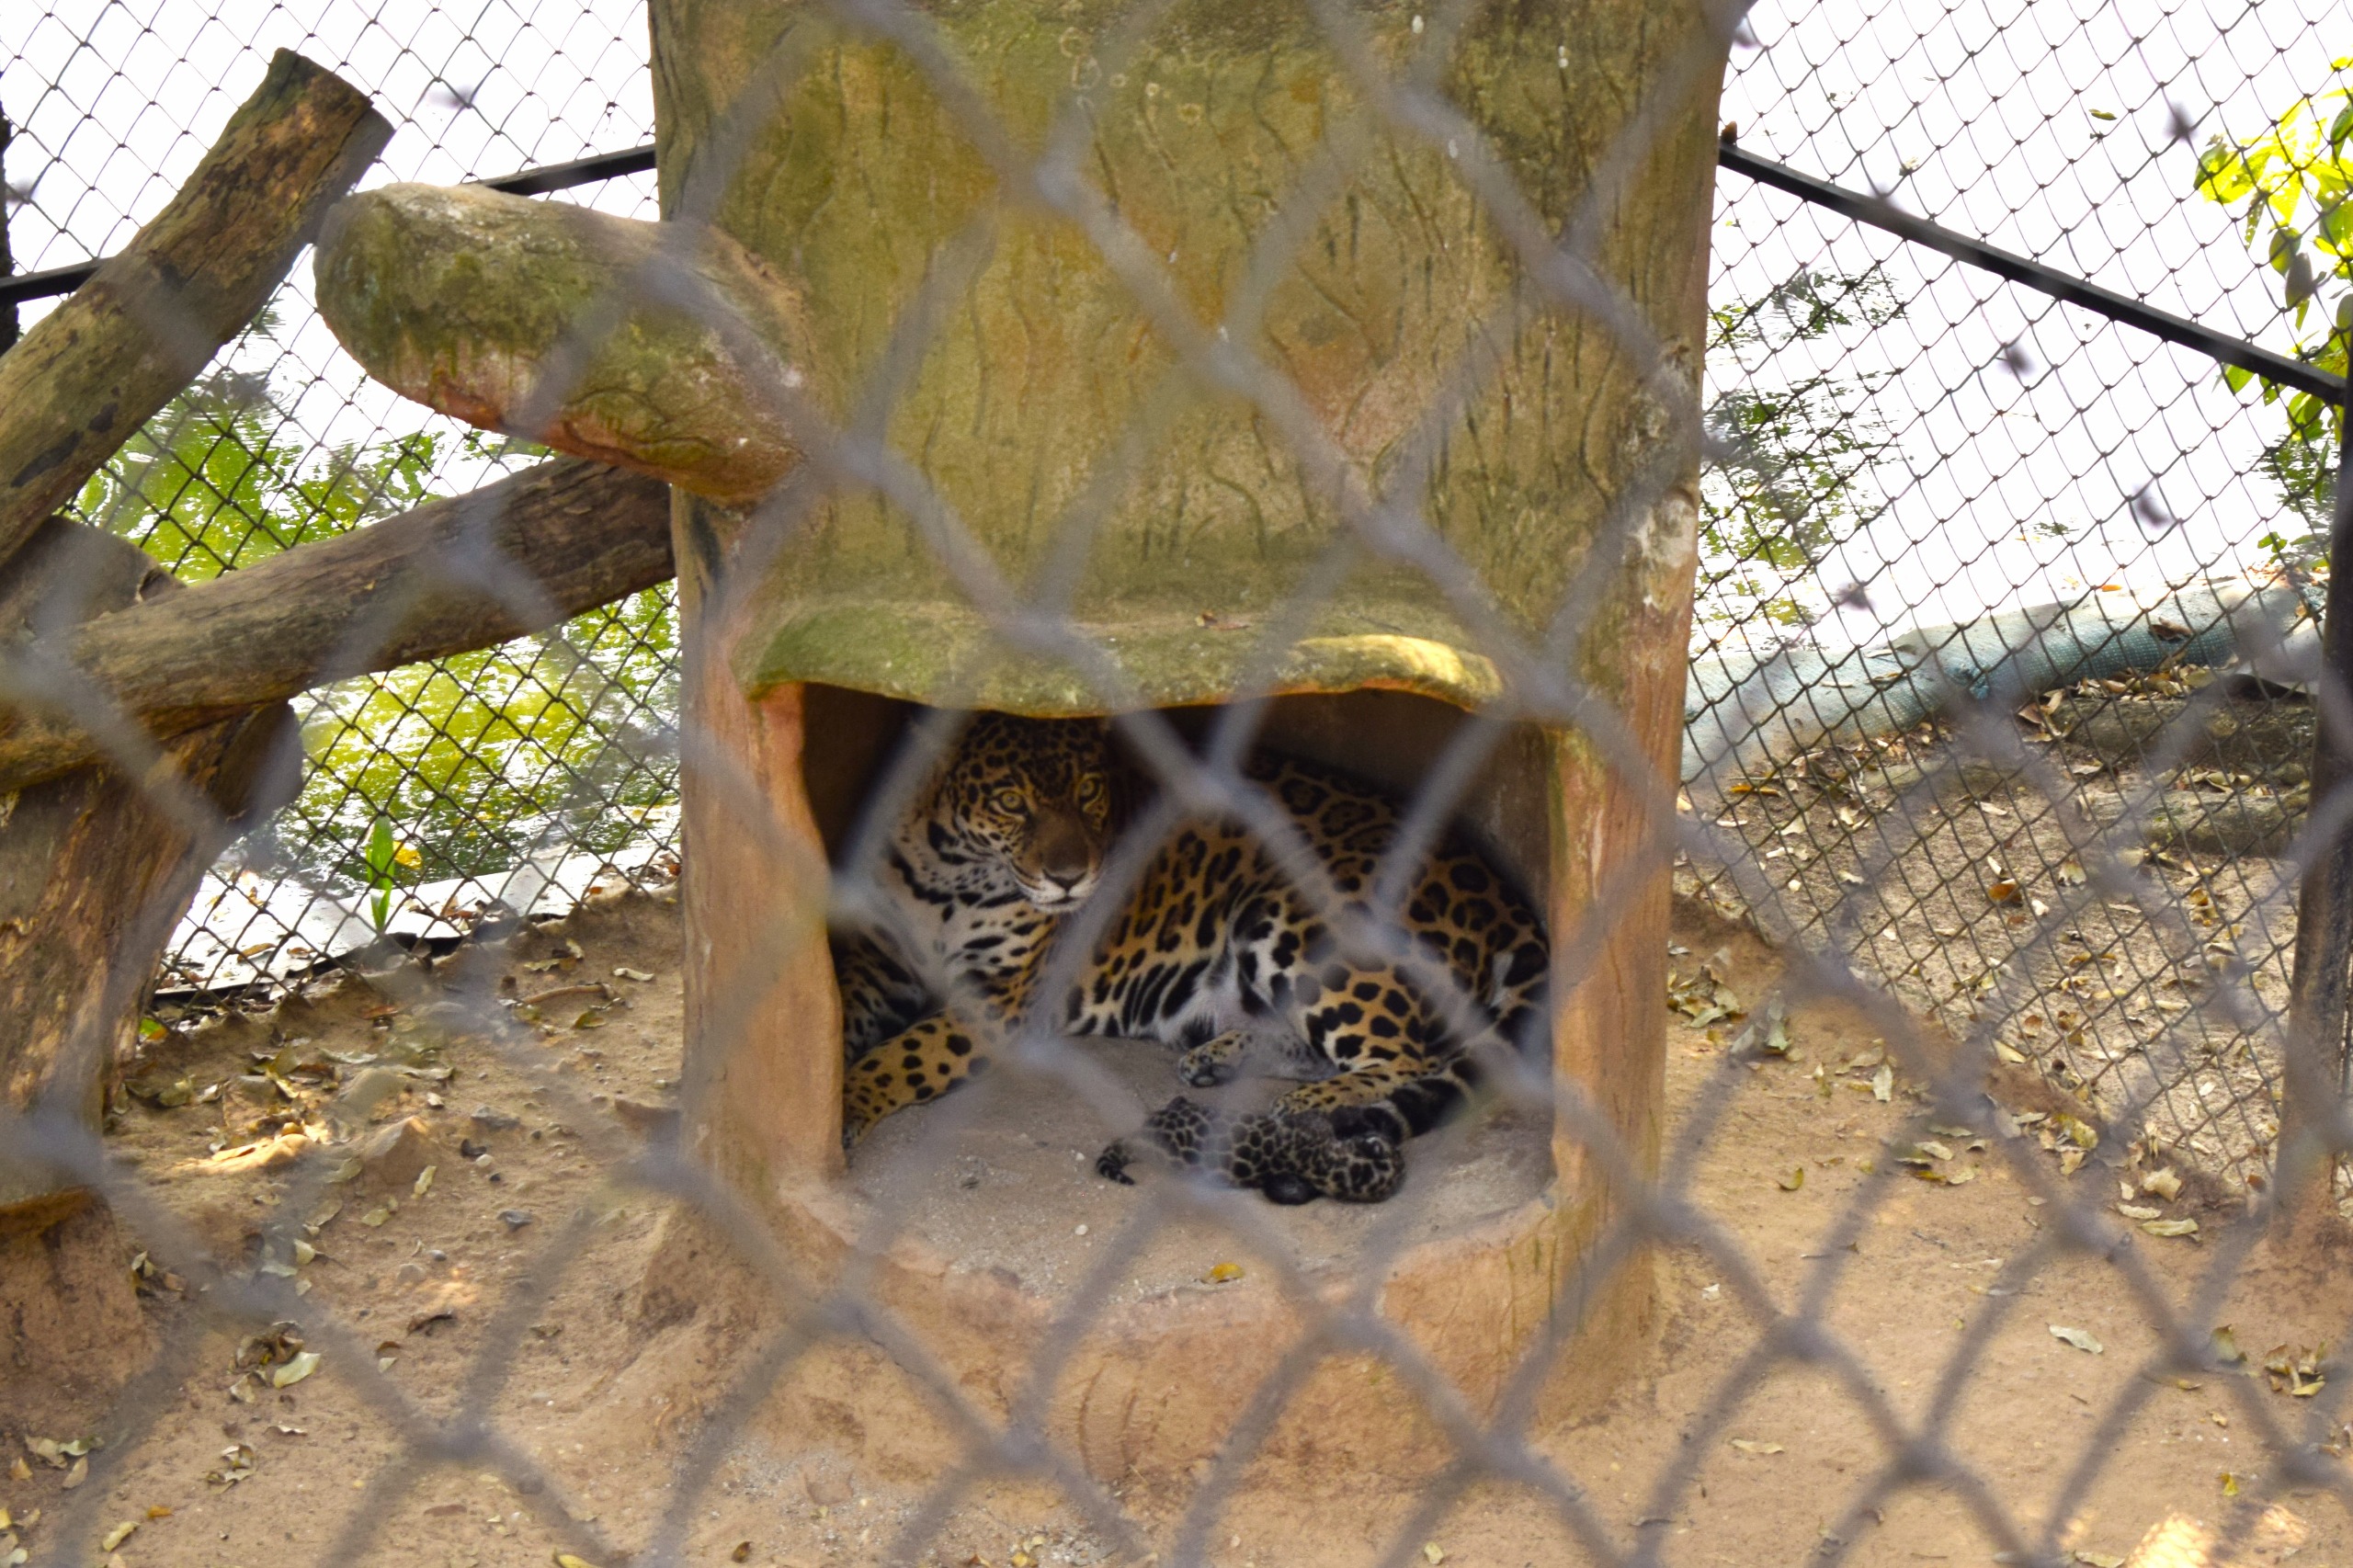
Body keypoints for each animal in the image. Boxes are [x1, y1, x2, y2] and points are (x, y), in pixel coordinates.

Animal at [832, 712, 1549, 1203]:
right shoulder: (874, 963)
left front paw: (851, 1102)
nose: (1070, 878)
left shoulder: (1000, 997)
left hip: (1292, 912)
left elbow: (904, 1054)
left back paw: (1309, 1108)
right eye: (1012, 802)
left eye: (1090, 792)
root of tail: (1500, 895)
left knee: (1405, 1057)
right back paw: (1219, 1059)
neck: (948, 875)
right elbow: (843, 1018)